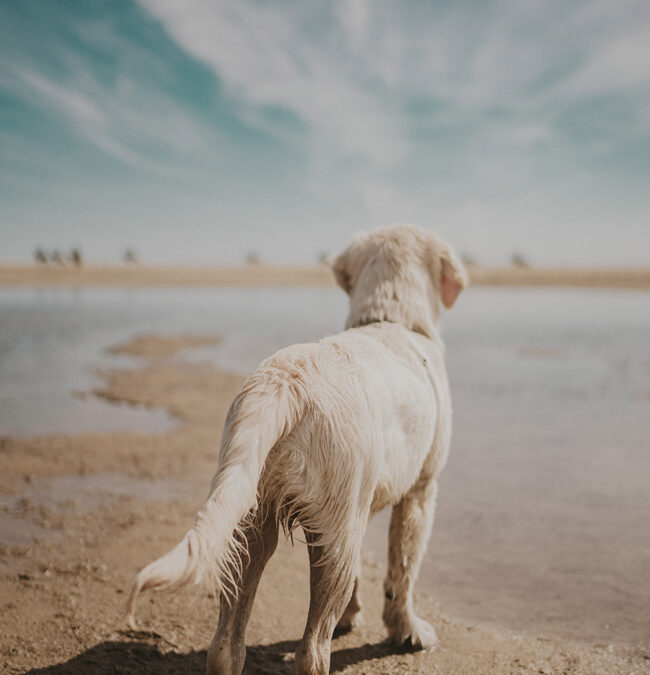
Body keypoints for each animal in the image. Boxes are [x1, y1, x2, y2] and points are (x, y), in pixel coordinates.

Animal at [124, 224, 466, 672]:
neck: (390, 318)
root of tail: (284, 385)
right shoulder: (421, 491)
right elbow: (403, 571)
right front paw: (408, 631)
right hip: (332, 536)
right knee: (312, 649)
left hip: (251, 519)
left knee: (226, 644)